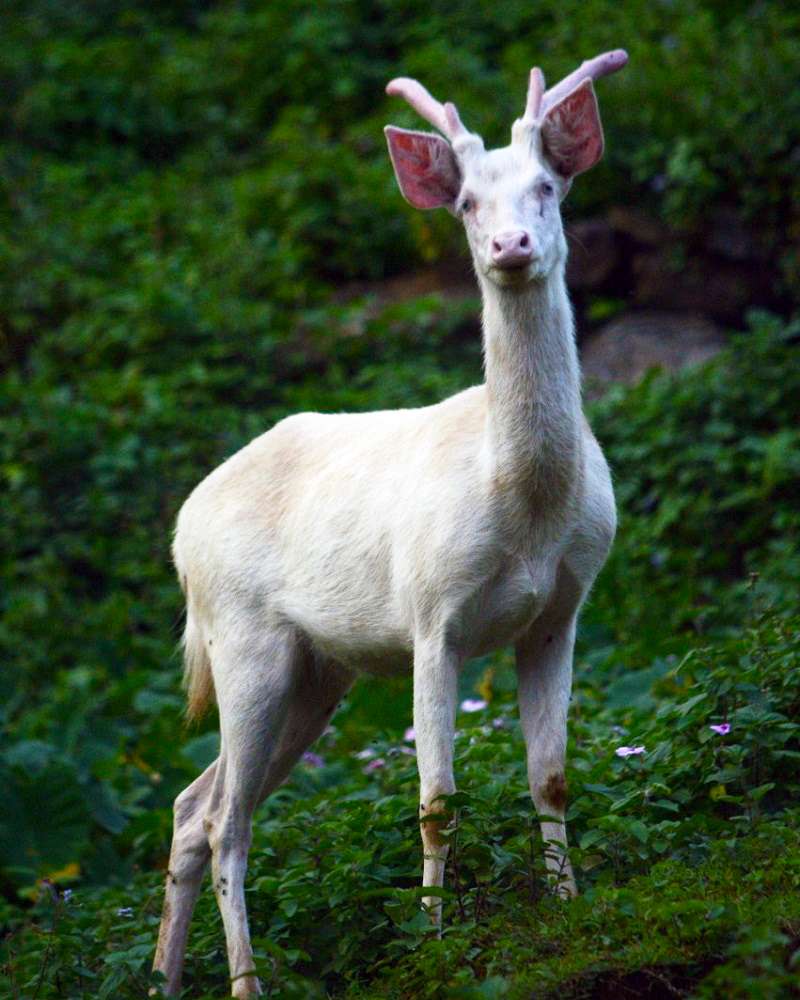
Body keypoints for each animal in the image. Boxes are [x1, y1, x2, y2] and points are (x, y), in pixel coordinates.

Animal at [150, 50, 624, 996]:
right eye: (467, 202)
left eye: (547, 187)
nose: (510, 248)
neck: (527, 506)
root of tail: (183, 530)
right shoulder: (432, 617)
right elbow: (436, 802)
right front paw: (434, 945)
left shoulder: (560, 614)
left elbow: (552, 778)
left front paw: (569, 910)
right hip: (243, 642)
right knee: (225, 819)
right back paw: (247, 981)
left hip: (315, 672)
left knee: (191, 804)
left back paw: (162, 981)